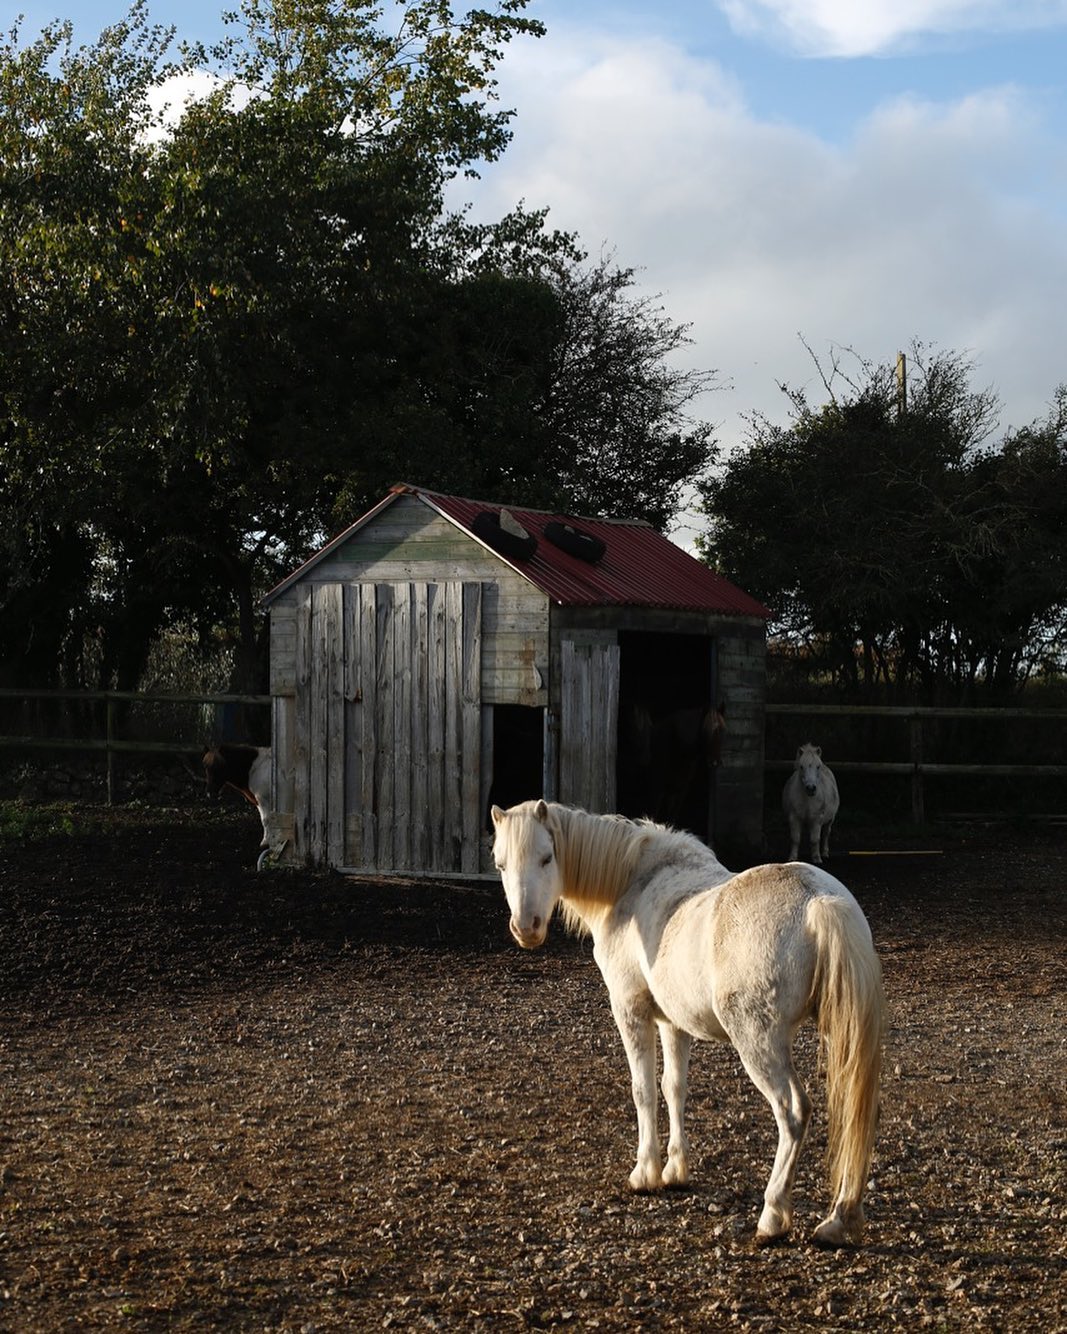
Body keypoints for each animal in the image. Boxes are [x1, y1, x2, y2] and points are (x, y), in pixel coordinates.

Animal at [490, 799, 884, 1248]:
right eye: (500, 864)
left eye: (546, 857)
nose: (526, 928)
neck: (632, 882)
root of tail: (818, 901)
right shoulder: (672, 1022)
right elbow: (673, 1088)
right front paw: (676, 1170)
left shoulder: (631, 1010)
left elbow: (643, 1090)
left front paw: (645, 1173)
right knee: (854, 1111)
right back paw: (840, 1219)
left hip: (759, 1043)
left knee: (793, 1113)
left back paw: (772, 1215)